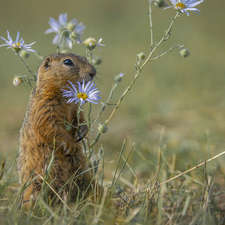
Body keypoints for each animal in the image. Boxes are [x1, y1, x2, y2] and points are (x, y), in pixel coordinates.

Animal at [17, 52, 96, 206]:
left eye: (84, 57)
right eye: (68, 62)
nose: (93, 72)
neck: (64, 96)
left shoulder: (75, 106)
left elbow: (80, 118)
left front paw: (83, 131)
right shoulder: (44, 107)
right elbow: (51, 127)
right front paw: (70, 144)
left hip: (83, 175)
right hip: (37, 184)